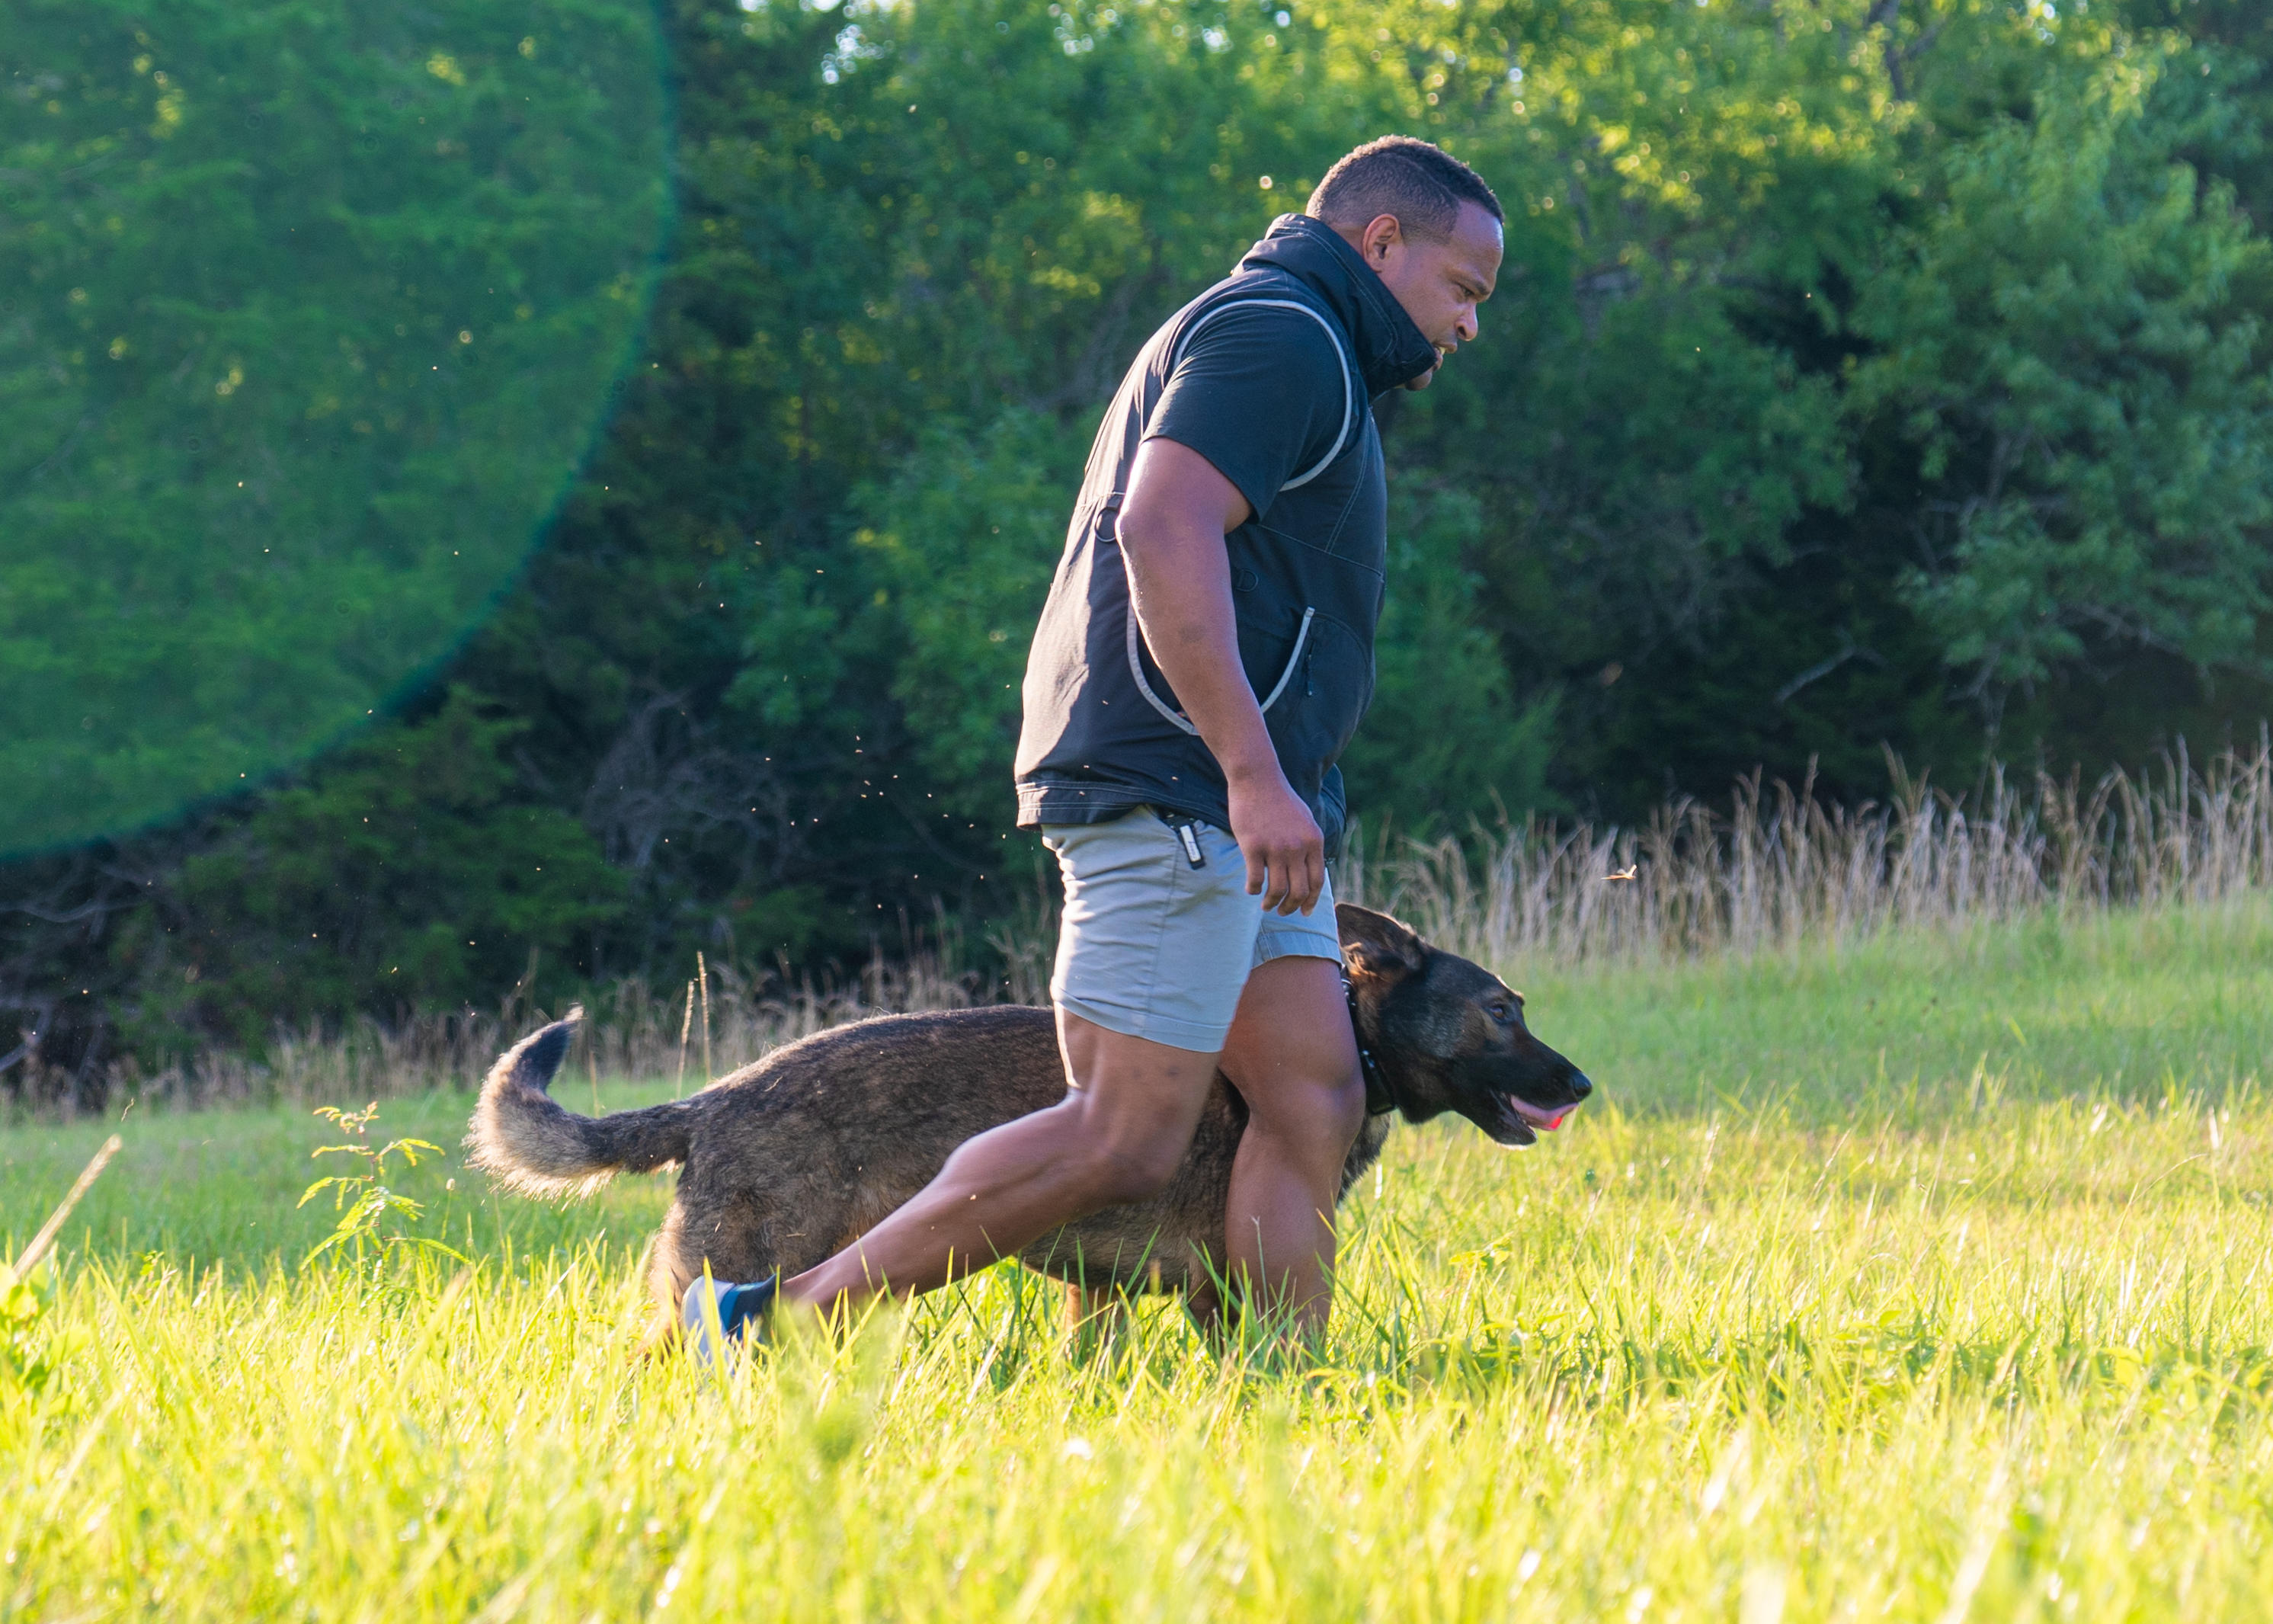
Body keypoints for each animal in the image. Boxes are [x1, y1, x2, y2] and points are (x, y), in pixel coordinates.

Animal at [470, 895, 1591, 1337]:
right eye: (1500, 1011)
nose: (1580, 1084)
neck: (1349, 1033)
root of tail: (712, 1099)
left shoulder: (1103, 1290)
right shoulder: (1226, 1277)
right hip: (755, 1258)